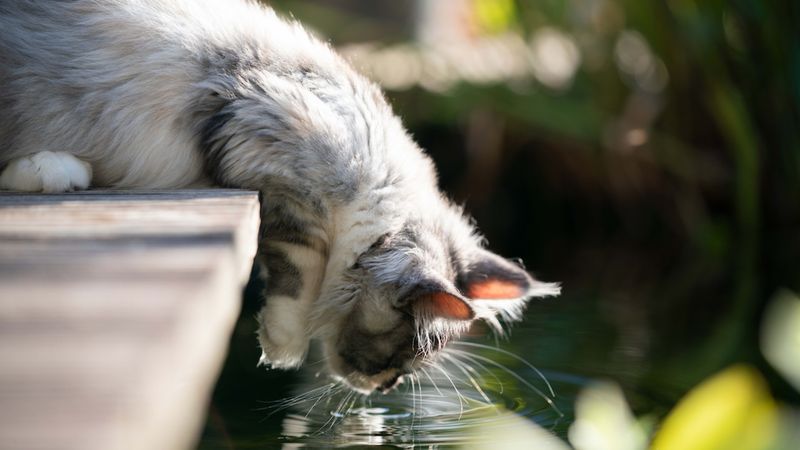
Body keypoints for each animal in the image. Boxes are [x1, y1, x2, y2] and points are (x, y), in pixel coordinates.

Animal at [0, 0, 560, 394]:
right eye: (400, 349)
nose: (386, 387)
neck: (376, 179)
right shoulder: (270, 158)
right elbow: (299, 271)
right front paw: (282, 349)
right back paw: (54, 171)